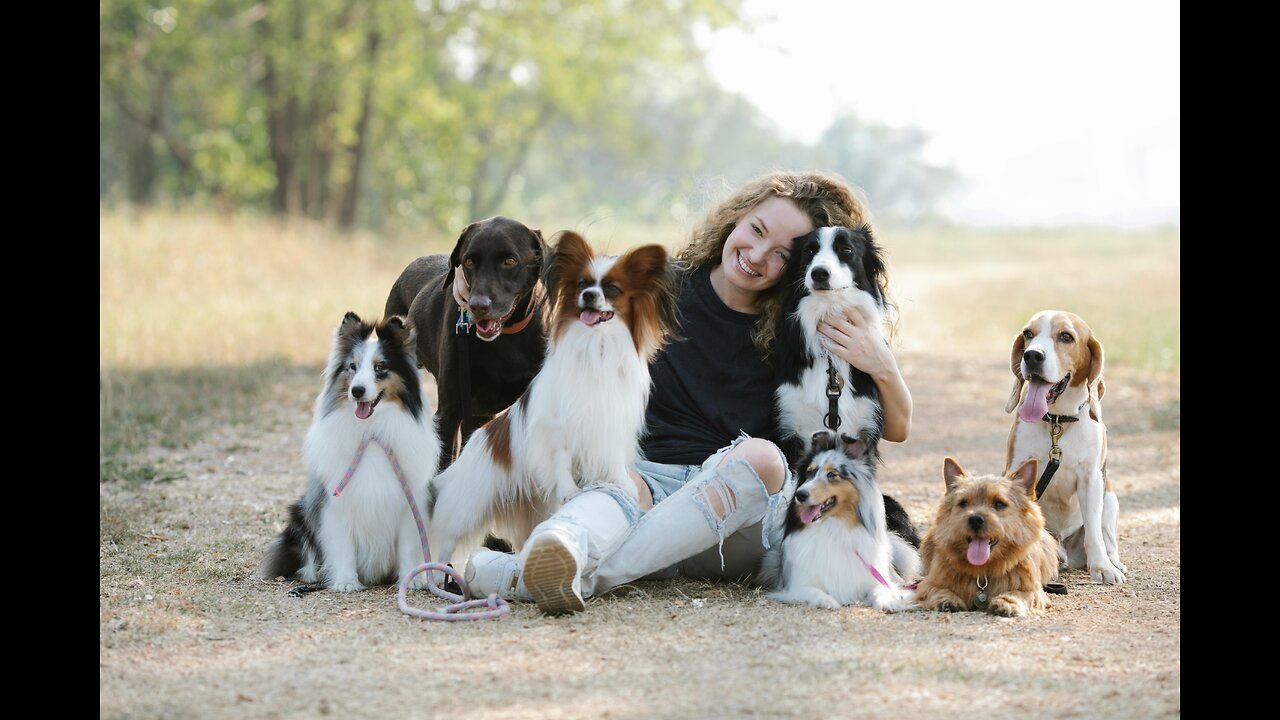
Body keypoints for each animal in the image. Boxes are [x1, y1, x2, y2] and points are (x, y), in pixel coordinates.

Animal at [257, 312, 442, 589]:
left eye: (380, 367)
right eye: (352, 367)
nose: (357, 391)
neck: (372, 433)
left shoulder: (411, 503)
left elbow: (409, 547)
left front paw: (411, 580)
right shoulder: (334, 504)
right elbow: (342, 545)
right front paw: (345, 581)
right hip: (301, 512)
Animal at [424, 233, 680, 573]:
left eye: (612, 288)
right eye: (582, 284)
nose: (588, 295)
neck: (597, 345)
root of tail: (476, 439)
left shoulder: (611, 422)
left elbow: (612, 459)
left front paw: (622, 484)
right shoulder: (557, 428)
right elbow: (561, 459)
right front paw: (570, 491)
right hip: (469, 506)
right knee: (446, 543)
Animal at [757, 427, 921, 607]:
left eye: (832, 474)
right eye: (809, 472)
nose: (800, 495)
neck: (833, 526)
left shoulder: (873, 579)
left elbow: (881, 590)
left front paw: (888, 602)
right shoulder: (797, 586)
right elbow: (815, 592)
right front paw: (828, 601)